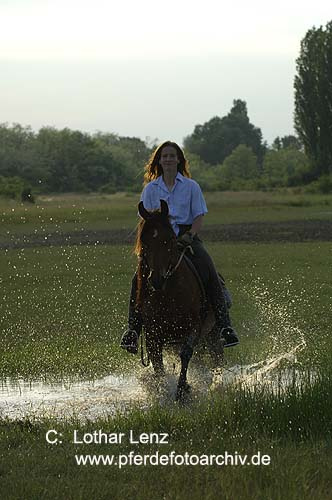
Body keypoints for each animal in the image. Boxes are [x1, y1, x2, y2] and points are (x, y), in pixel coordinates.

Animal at [135, 199, 218, 398]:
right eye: (144, 241)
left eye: (170, 240)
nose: (156, 280)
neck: (169, 295)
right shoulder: (153, 335)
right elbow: (158, 365)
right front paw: (163, 390)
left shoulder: (194, 328)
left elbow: (185, 354)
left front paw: (182, 390)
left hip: (212, 334)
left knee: (216, 359)